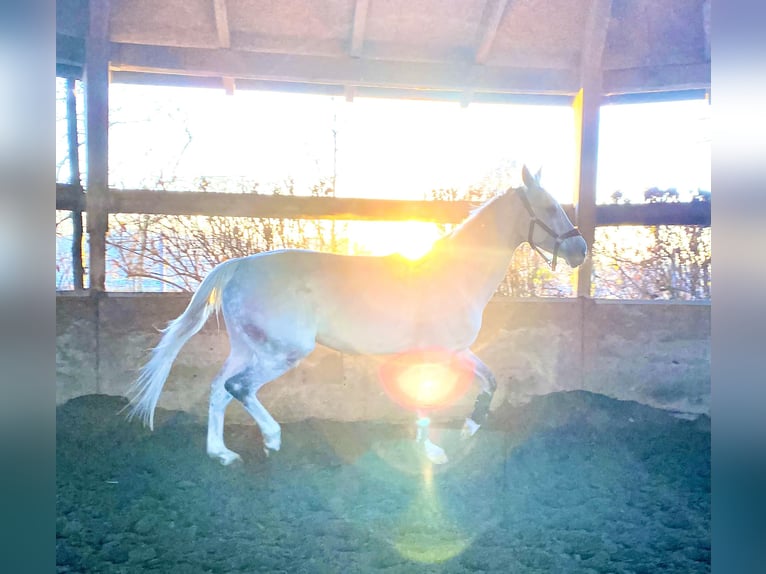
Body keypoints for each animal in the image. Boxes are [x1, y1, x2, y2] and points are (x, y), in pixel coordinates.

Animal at [129, 166, 592, 468]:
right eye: (549, 207)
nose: (580, 251)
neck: (457, 274)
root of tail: (239, 265)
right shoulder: (438, 352)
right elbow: (428, 399)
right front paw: (433, 452)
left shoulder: (455, 350)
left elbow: (489, 382)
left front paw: (468, 430)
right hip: (282, 352)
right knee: (237, 387)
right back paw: (272, 440)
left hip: (249, 347)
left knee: (217, 390)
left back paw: (222, 454)